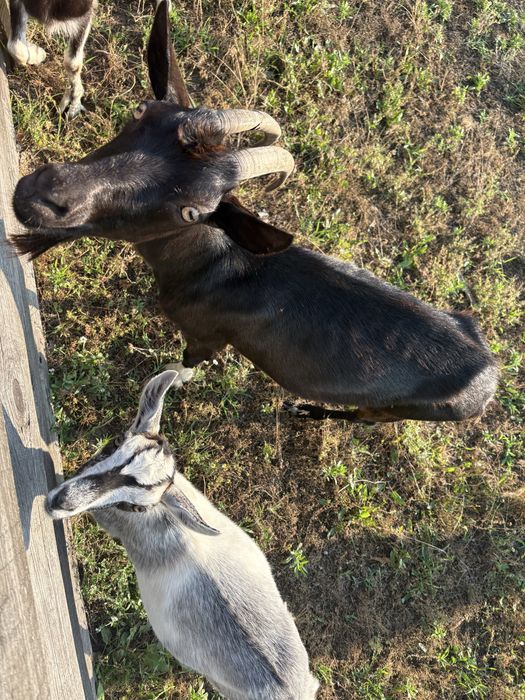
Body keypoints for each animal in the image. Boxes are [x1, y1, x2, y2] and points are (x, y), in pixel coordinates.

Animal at [11, 0, 499, 424]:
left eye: (193, 211)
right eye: (140, 110)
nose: (43, 194)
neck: (216, 262)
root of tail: (491, 374)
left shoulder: (209, 334)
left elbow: (188, 363)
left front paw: (167, 381)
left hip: (401, 410)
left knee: (363, 417)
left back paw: (305, 411)